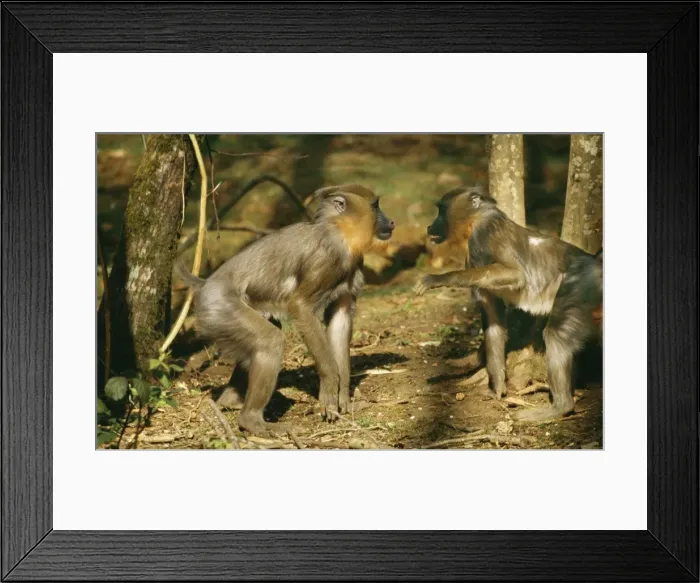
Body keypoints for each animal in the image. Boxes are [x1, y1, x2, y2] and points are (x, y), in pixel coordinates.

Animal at [178, 184, 394, 435]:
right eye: (375, 206)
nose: (391, 222)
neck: (338, 230)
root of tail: (204, 285)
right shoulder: (327, 259)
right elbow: (300, 306)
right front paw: (329, 388)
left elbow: (340, 319)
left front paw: (343, 398)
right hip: (220, 309)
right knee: (270, 340)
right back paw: (251, 420)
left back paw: (230, 401)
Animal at [414, 186, 602, 422]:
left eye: (441, 211)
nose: (430, 226)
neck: (474, 220)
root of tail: (596, 264)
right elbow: (493, 320)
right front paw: (497, 385)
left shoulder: (483, 235)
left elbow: (516, 275)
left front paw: (440, 279)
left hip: (577, 286)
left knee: (556, 334)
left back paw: (561, 407)